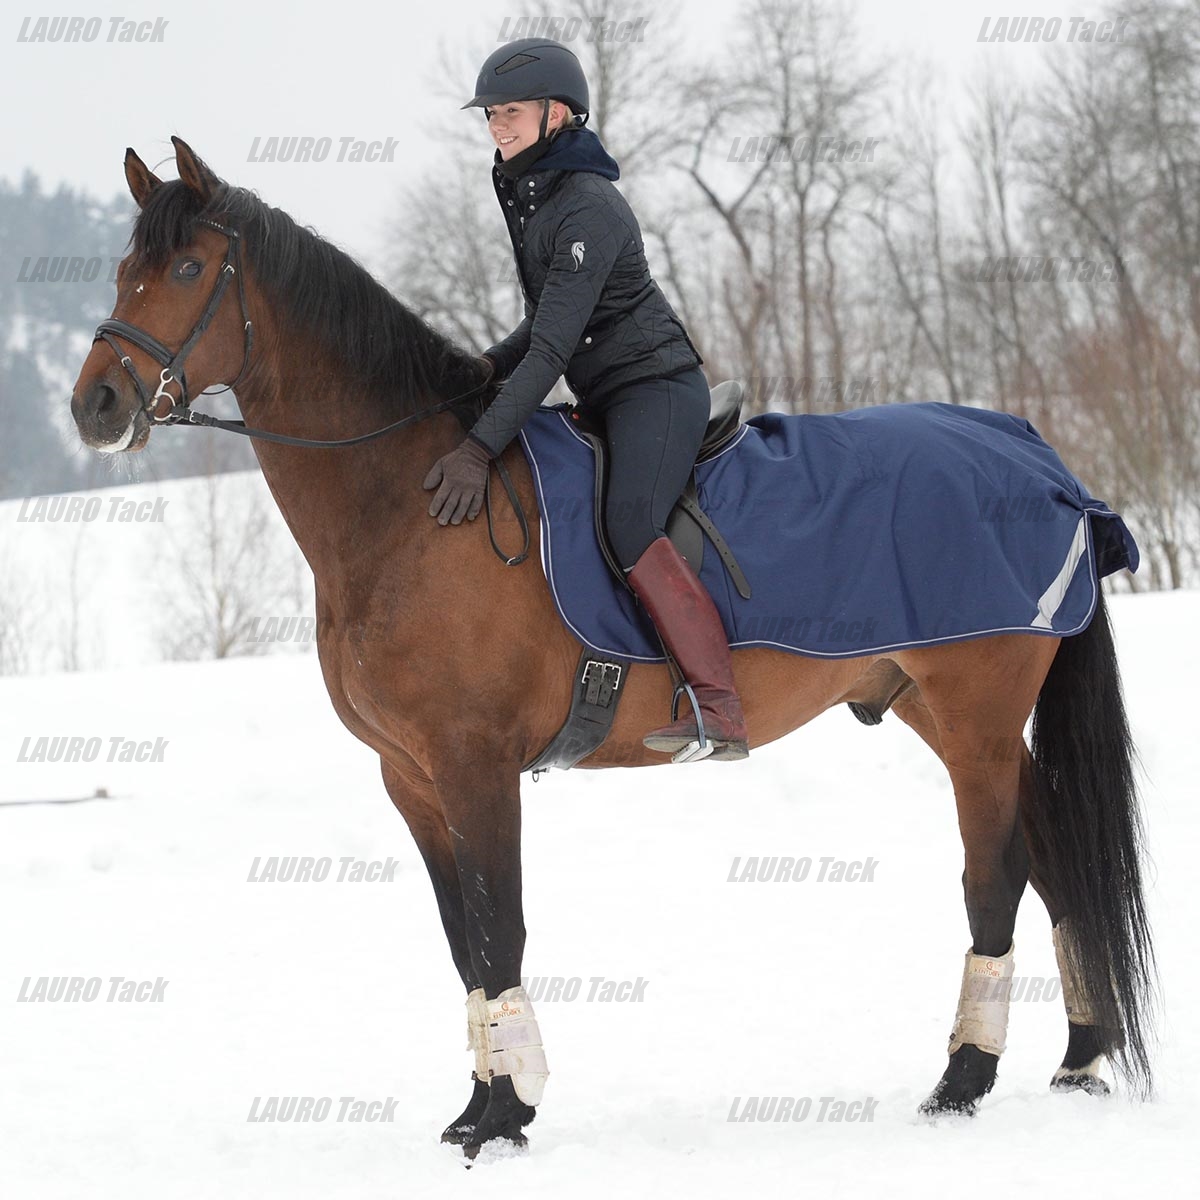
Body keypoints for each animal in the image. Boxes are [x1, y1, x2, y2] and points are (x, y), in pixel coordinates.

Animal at [69, 137, 1155, 1160]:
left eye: (188, 268)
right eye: (122, 267)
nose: (96, 405)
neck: (406, 506)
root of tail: (1034, 455)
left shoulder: (474, 766)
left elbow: (499, 929)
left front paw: (508, 1112)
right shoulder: (410, 777)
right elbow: (464, 944)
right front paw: (478, 1104)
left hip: (975, 718)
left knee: (997, 877)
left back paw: (963, 1081)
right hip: (942, 710)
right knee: (1057, 857)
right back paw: (1080, 1055)